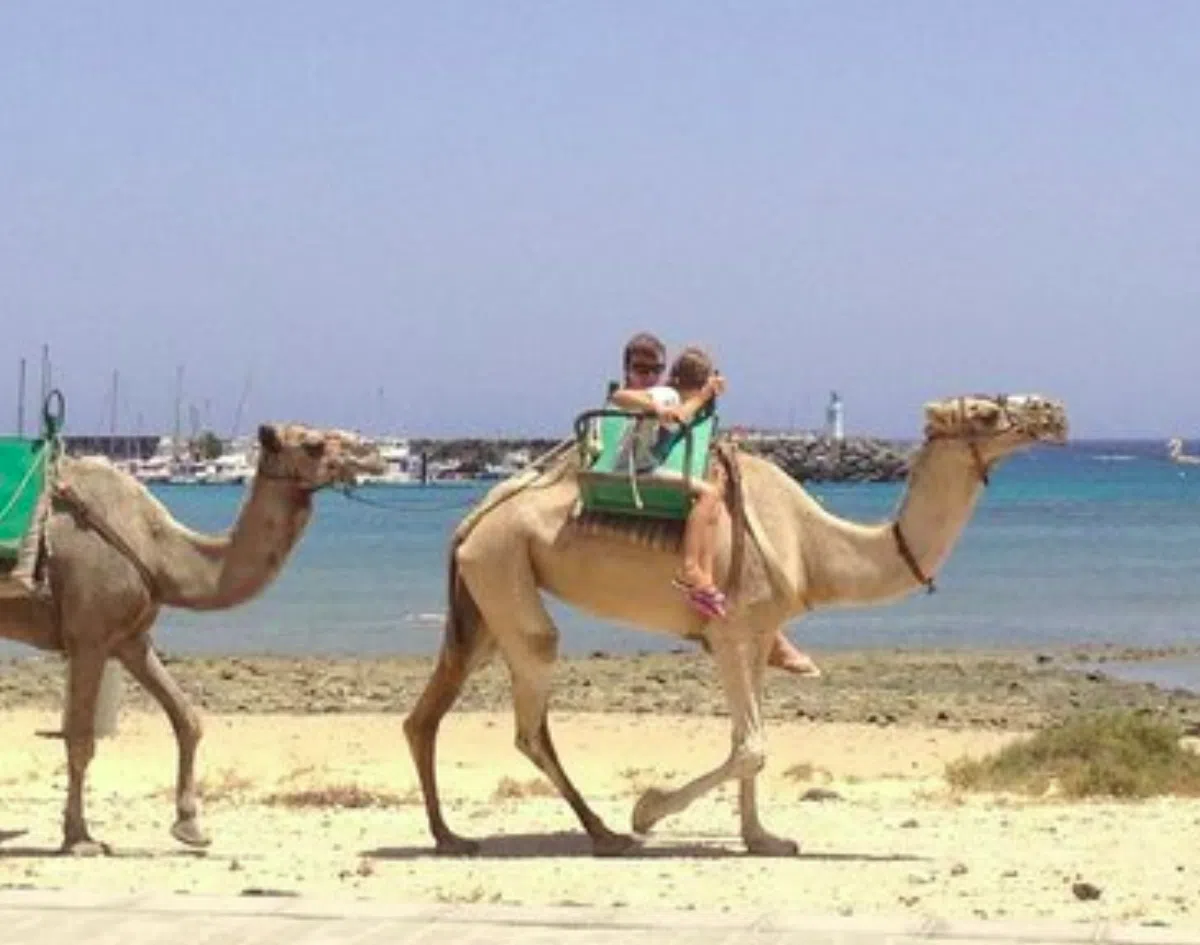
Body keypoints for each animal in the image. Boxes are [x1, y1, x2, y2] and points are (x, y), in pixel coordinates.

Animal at [0, 423, 383, 854]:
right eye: (313, 444)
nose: (374, 454)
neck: (157, 547)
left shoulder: (130, 639)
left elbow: (188, 719)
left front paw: (190, 826)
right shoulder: (89, 637)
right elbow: (80, 739)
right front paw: (79, 838)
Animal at [404, 393, 1068, 856]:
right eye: (985, 411)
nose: (1053, 412)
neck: (812, 546)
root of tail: (471, 520)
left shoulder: (756, 634)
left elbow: (746, 742)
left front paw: (763, 839)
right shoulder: (726, 632)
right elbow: (752, 746)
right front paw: (647, 808)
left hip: (482, 595)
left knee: (428, 713)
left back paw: (450, 836)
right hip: (503, 565)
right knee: (530, 712)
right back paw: (607, 833)